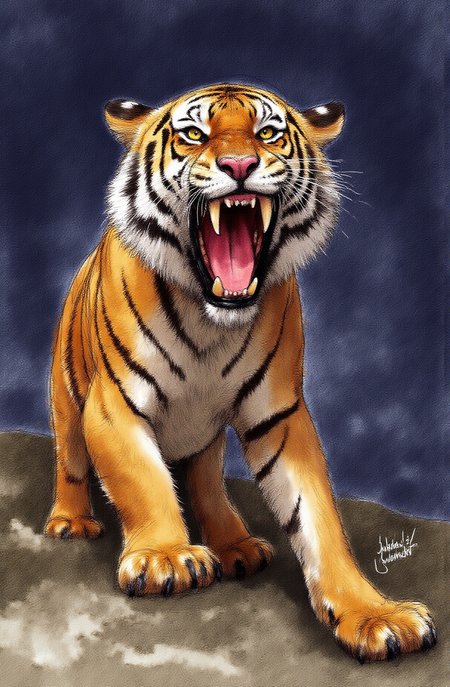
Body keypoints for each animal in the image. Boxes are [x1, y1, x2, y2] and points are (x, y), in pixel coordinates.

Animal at [44, 83, 436, 662]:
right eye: (193, 134)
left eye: (267, 132)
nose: (239, 164)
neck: (212, 321)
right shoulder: (113, 404)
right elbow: (142, 480)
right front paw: (166, 556)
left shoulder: (280, 412)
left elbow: (317, 516)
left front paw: (374, 615)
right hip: (68, 401)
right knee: (71, 462)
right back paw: (72, 521)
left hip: (205, 436)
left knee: (207, 482)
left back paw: (235, 544)